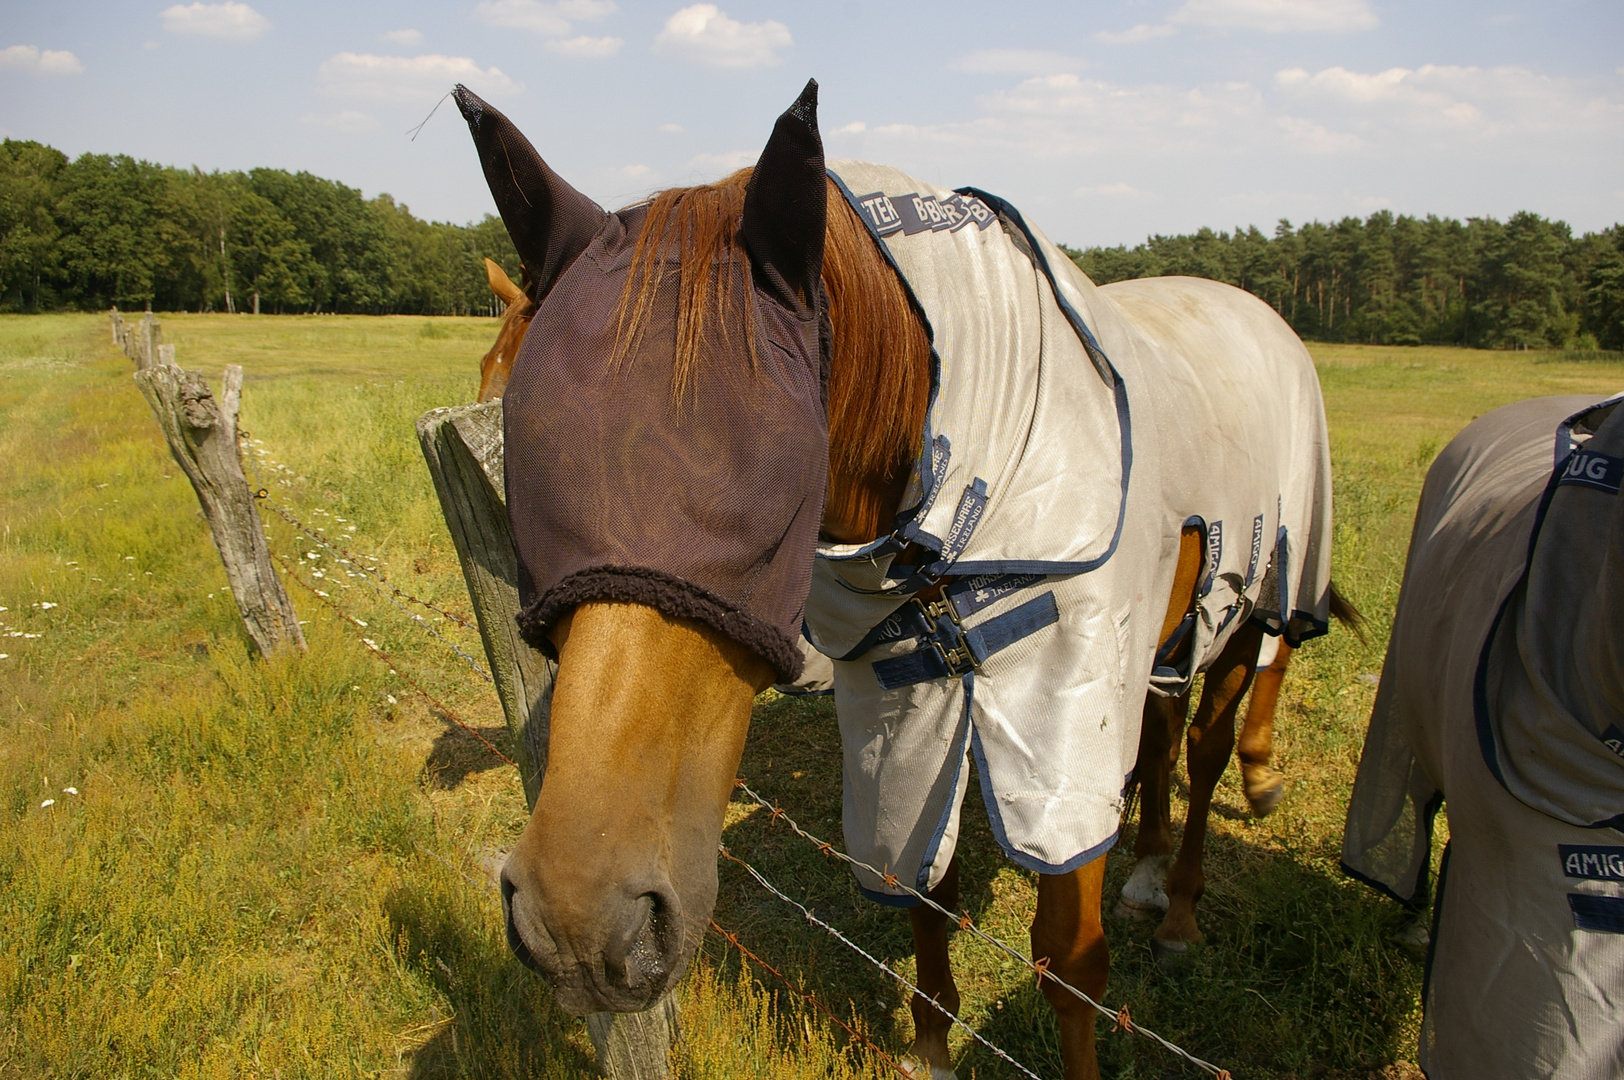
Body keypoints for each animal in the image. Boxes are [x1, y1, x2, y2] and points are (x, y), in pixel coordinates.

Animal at [451, 77, 1338, 1078]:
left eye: (772, 483)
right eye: (520, 419)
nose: (576, 922)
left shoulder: (1065, 727)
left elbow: (1070, 961)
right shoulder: (903, 713)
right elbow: (921, 883)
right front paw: (929, 1042)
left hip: (1254, 602)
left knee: (1207, 747)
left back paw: (1183, 901)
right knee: (1161, 727)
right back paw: (1149, 867)